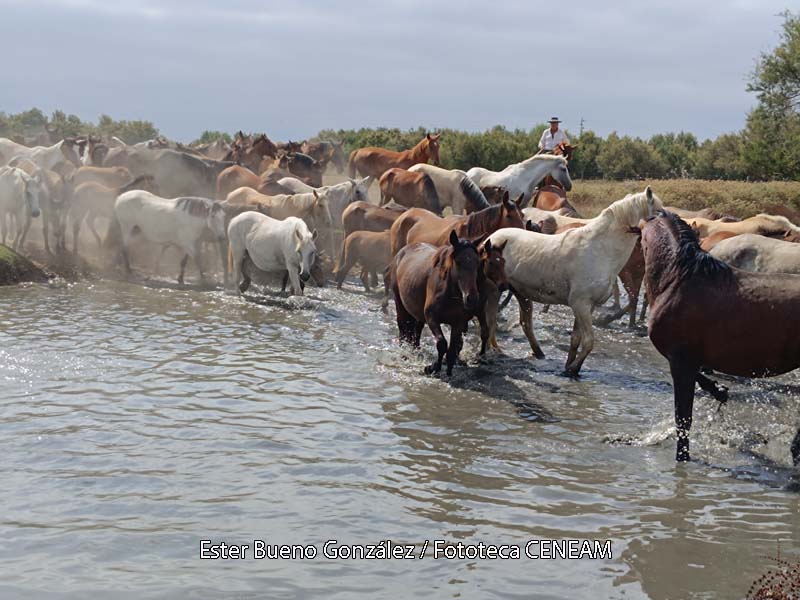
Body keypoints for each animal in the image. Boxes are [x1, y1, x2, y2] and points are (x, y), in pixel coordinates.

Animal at [390, 231, 500, 376]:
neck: (448, 294)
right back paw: (405, 353)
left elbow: (453, 347)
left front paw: (448, 367)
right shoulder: (432, 318)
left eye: (477, 262)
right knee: (403, 328)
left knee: (416, 330)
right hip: (400, 304)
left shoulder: (459, 322)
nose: (472, 298)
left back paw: (416, 349)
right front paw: (433, 367)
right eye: (458, 262)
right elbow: (442, 343)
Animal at [488, 188, 664, 376]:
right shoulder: (580, 304)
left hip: (522, 294)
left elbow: (576, 339)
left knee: (525, 323)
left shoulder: (588, 306)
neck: (601, 250)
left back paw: (538, 353)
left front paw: (569, 367)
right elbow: (588, 341)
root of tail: (491, 238)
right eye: (659, 212)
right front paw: (573, 369)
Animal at [640, 213, 800, 462]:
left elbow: (683, 419)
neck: (677, 281)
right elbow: (702, 381)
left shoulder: (681, 361)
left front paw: (682, 457)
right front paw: (720, 391)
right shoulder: (686, 360)